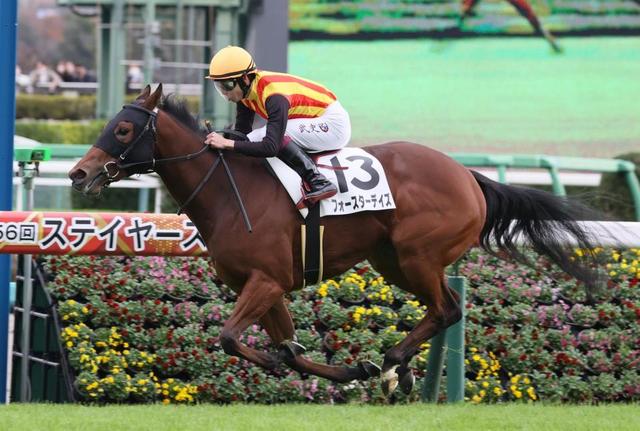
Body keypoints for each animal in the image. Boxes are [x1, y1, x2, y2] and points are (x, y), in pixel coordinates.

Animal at [68, 84, 601, 396]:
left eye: (123, 128)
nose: (78, 173)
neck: (228, 190)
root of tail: (468, 176)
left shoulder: (267, 280)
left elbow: (230, 338)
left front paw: (306, 363)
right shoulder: (265, 286)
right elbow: (290, 348)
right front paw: (346, 371)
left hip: (418, 254)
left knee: (447, 309)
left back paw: (394, 363)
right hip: (392, 261)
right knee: (439, 310)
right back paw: (398, 370)